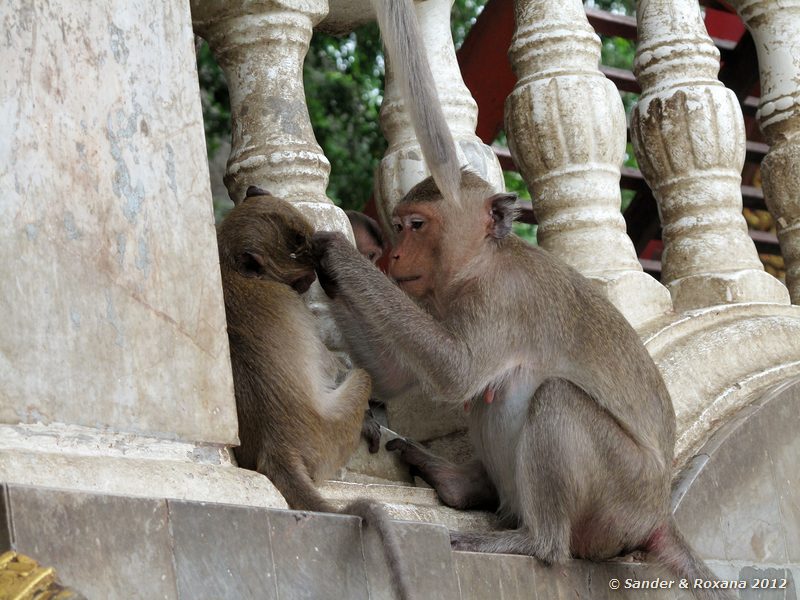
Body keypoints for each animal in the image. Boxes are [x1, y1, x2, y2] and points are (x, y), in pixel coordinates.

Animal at [217, 186, 412, 596]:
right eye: (299, 262)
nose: (315, 274)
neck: (228, 271)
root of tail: (278, 448)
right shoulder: (294, 306)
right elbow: (331, 366)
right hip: (332, 432)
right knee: (361, 377)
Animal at [310, 0, 732, 596]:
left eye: (415, 226)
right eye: (399, 227)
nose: (392, 258)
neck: (480, 264)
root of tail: (658, 516)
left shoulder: (499, 301)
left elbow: (456, 373)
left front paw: (334, 250)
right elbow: (397, 375)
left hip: (620, 501)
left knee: (552, 399)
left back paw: (534, 543)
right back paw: (461, 485)